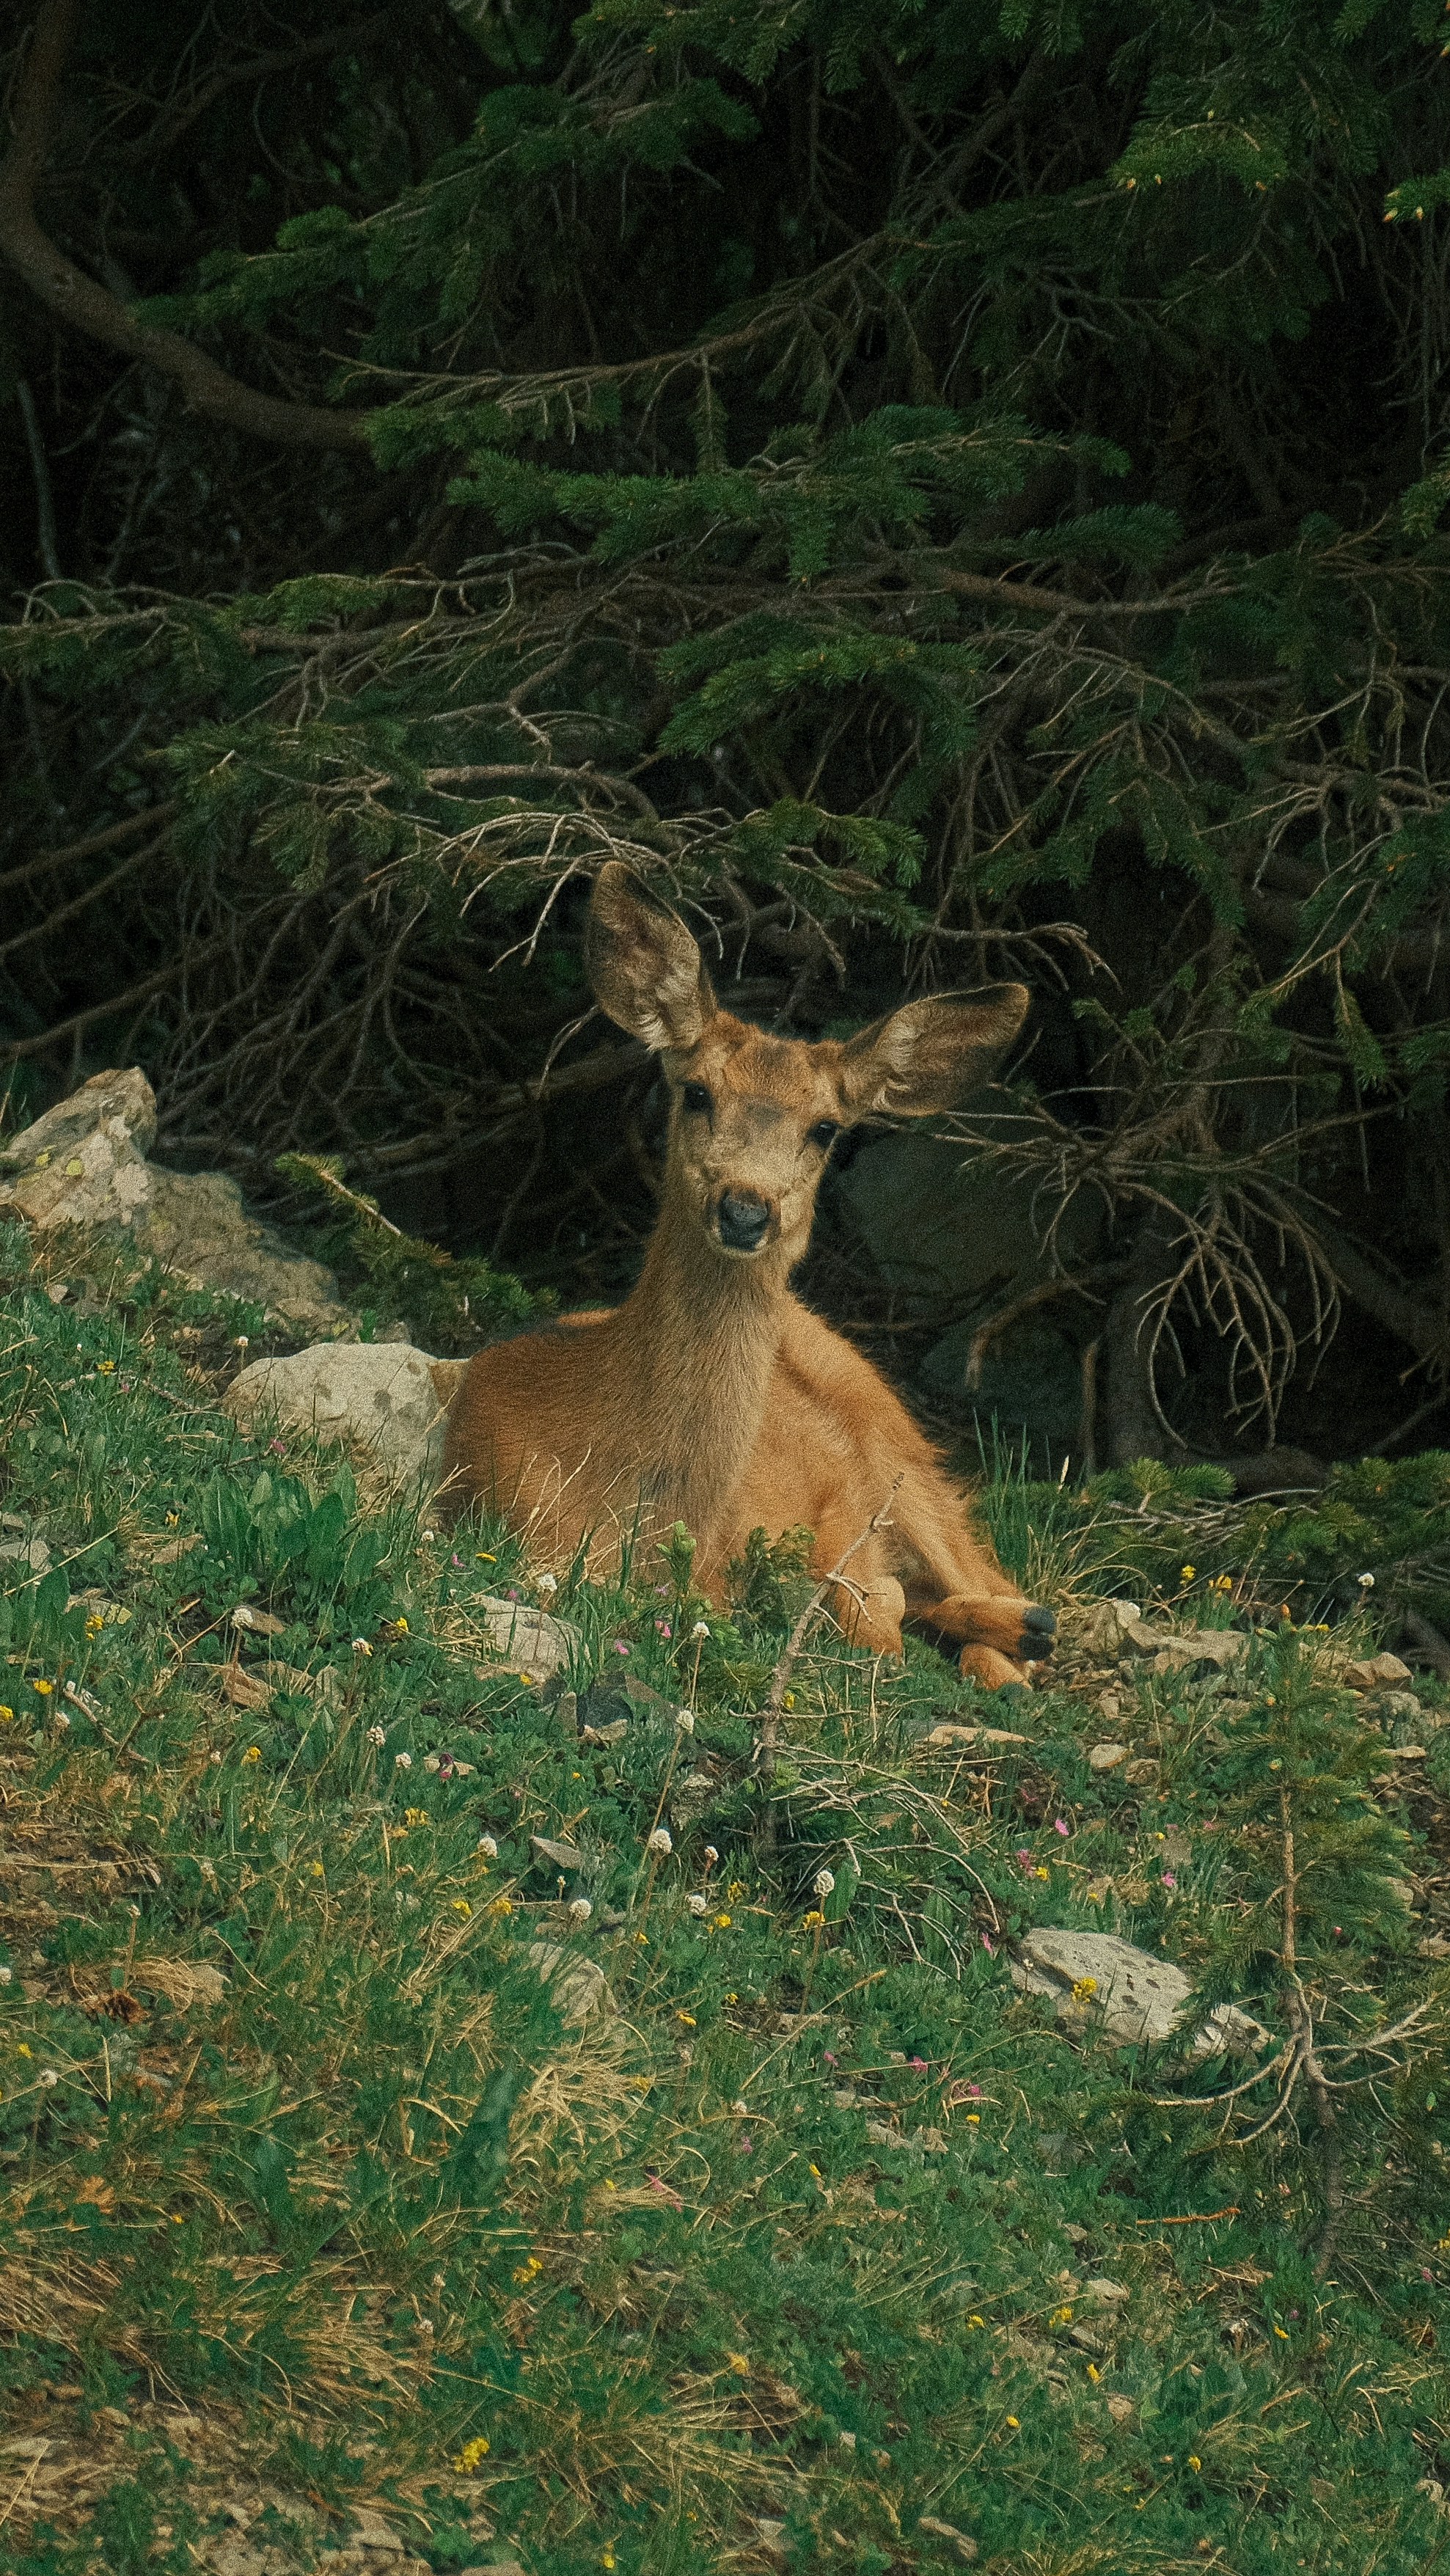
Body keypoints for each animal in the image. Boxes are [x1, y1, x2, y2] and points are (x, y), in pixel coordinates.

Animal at [443, 863, 1056, 1690]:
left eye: (826, 1128)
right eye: (697, 1091)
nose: (744, 1208)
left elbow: (867, 1605)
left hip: (898, 1446)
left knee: (985, 1580)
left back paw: (1018, 1639)